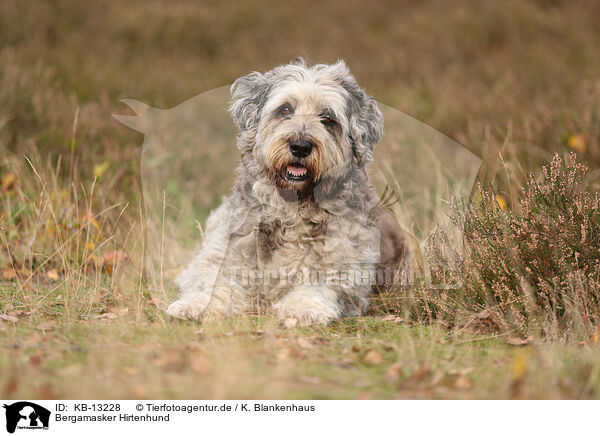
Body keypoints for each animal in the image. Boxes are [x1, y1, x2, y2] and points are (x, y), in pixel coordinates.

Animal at [166, 60, 406, 328]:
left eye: (328, 118)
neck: (294, 205)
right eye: (285, 109)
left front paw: (301, 309)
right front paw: (194, 305)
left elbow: (317, 287)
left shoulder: (345, 274)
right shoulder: (224, 252)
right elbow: (212, 280)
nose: (300, 146)